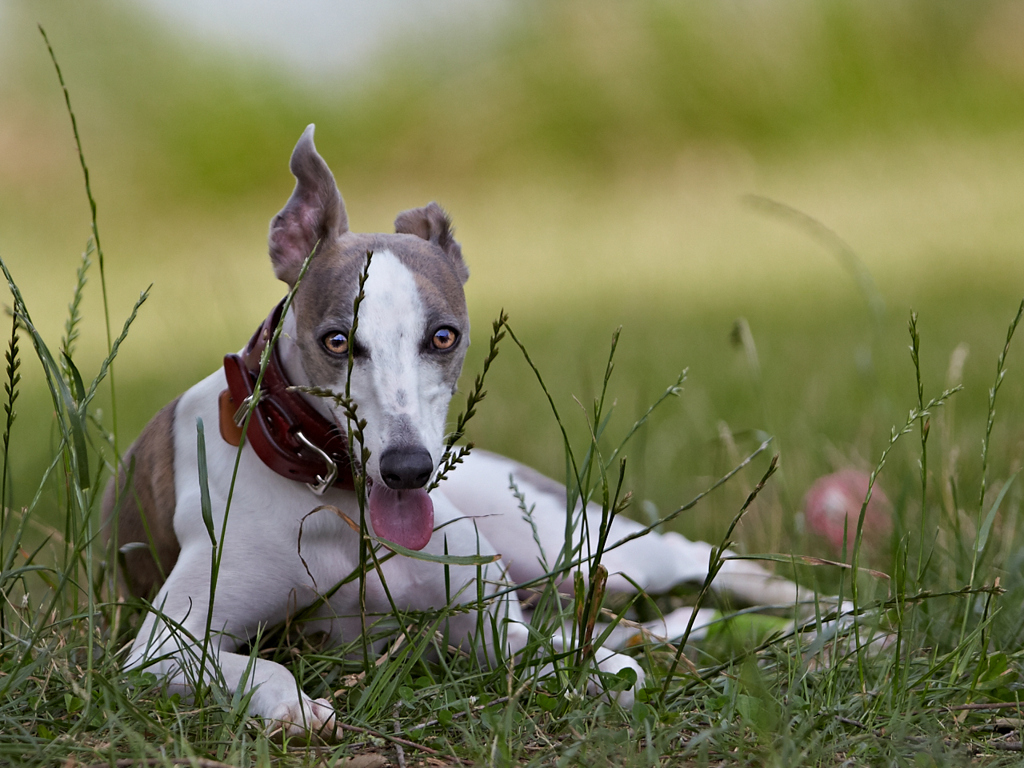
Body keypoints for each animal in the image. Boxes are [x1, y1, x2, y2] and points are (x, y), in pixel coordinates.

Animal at [103, 126, 806, 741]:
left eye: (443, 336)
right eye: (337, 341)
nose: (407, 469)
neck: (338, 504)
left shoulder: (490, 624)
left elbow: (601, 664)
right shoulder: (164, 646)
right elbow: (260, 664)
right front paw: (295, 708)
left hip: (568, 542)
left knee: (689, 556)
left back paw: (828, 610)